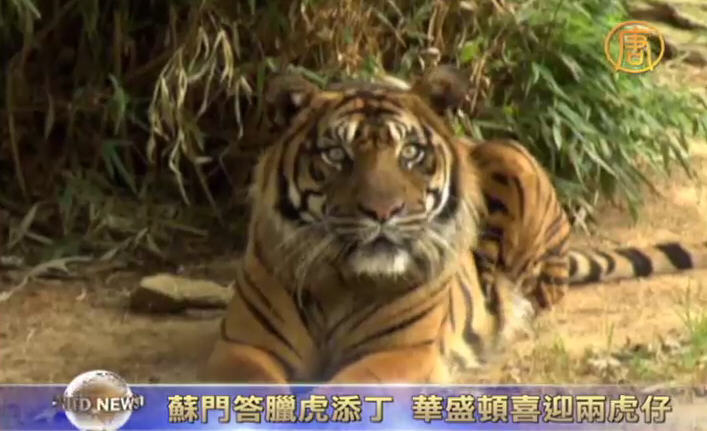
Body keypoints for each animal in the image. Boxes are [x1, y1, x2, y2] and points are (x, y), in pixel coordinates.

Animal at [203, 65, 707, 384]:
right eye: (336, 155)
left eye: (410, 152)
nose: (383, 212)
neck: (338, 284)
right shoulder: (245, 347)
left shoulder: (399, 352)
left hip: (511, 158)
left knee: (545, 289)